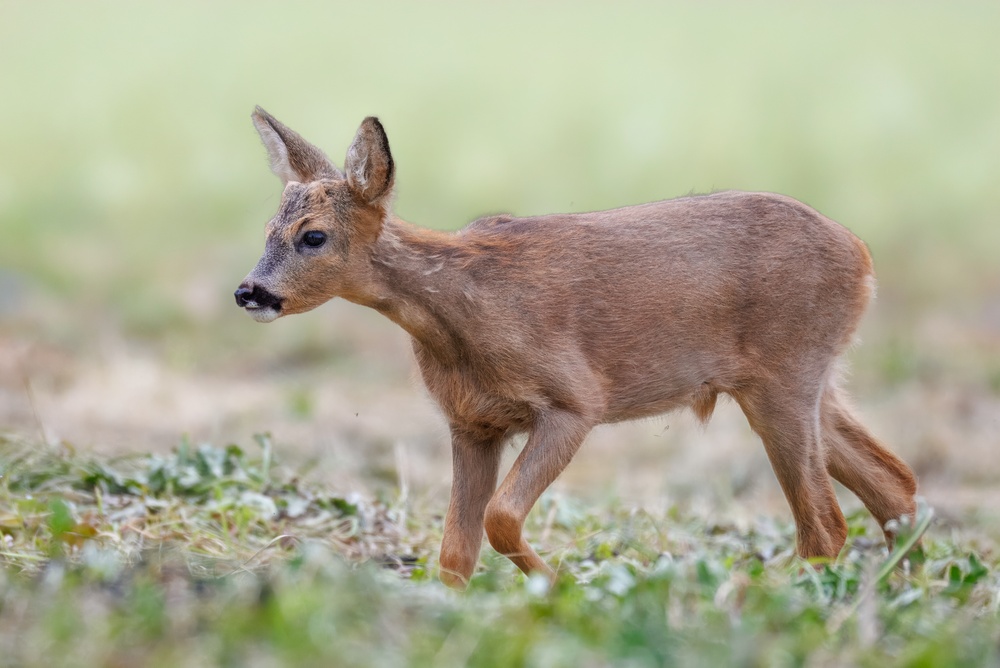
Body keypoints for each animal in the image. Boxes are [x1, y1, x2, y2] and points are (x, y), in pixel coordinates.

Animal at [235, 108, 918, 589]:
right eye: (267, 229)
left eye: (313, 236)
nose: (249, 292)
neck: (462, 314)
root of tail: (863, 258)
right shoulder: (471, 422)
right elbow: (455, 553)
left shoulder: (573, 400)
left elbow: (500, 519)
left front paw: (560, 587)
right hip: (808, 381)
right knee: (894, 485)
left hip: (785, 374)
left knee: (827, 525)